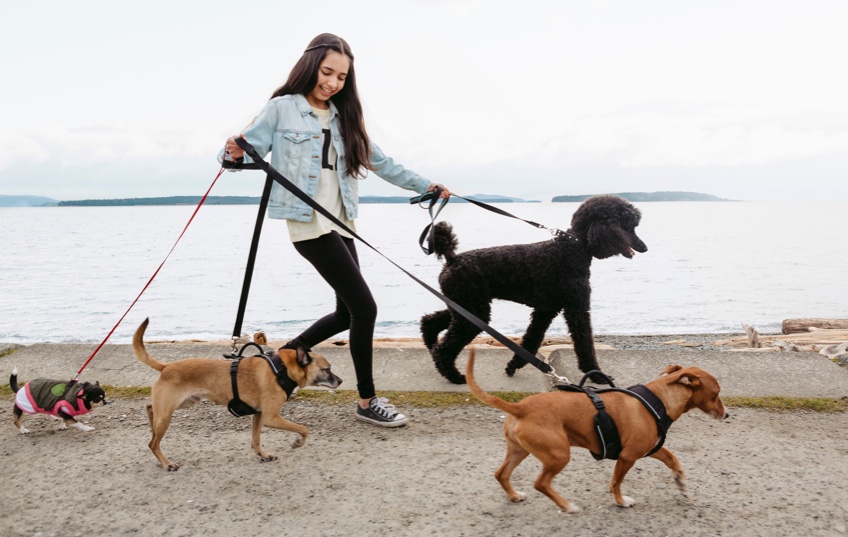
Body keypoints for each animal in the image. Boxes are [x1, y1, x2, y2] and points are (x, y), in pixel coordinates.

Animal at [132, 318, 342, 468]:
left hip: (182, 403)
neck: (281, 368)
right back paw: (167, 463)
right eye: (327, 369)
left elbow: (255, 440)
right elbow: (304, 429)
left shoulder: (259, 415)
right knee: (153, 443)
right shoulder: (271, 417)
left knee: (150, 407)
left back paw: (151, 423)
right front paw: (298, 442)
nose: (340, 381)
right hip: (168, 413)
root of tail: (166, 367)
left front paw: (263, 454)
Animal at [464, 348, 728, 510]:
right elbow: (615, 483)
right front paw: (621, 502)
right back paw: (567, 507)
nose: (727, 414)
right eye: (716, 393)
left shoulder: (650, 449)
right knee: (540, 484)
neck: (659, 399)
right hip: (558, 455)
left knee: (501, 474)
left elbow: (673, 459)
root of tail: (520, 407)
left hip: (520, 451)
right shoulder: (627, 456)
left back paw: (514, 495)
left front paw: (681, 482)